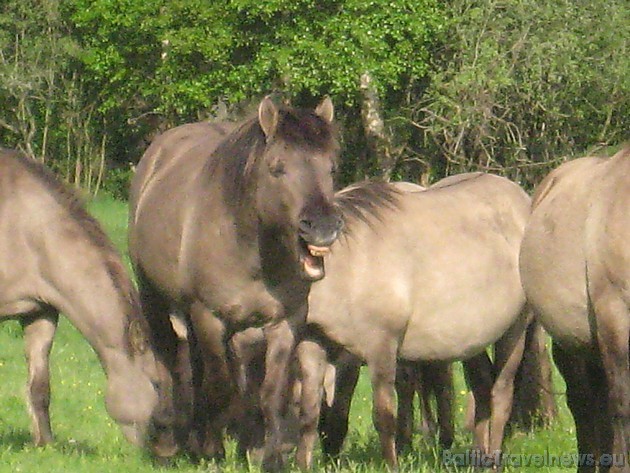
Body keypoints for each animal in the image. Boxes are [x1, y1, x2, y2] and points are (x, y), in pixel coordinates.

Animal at [128, 96, 344, 468]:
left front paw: (268, 459)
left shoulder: (285, 322)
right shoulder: (210, 318)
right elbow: (221, 387)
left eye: (331, 169)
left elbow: (271, 394)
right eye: (277, 168)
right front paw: (214, 452)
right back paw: (170, 443)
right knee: (169, 360)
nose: (323, 227)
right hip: (155, 298)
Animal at [298, 173, 532, 468]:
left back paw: (492, 461)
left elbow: (383, 415)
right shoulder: (312, 344)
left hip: (515, 329)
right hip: (470, 341)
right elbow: (308, 416)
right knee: (481, 388)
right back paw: (478, 457)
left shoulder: (379, 348)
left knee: (501, 392)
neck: (347, 267)